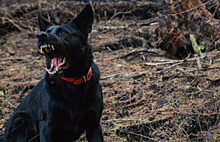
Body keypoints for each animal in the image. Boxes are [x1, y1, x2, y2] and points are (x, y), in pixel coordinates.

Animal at [3, 3, 103, 141]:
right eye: (47, 32)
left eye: (63, 32)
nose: (40, 35)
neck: (71, 82)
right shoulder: (47, 126)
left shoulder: (94, 126)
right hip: (23, 120)